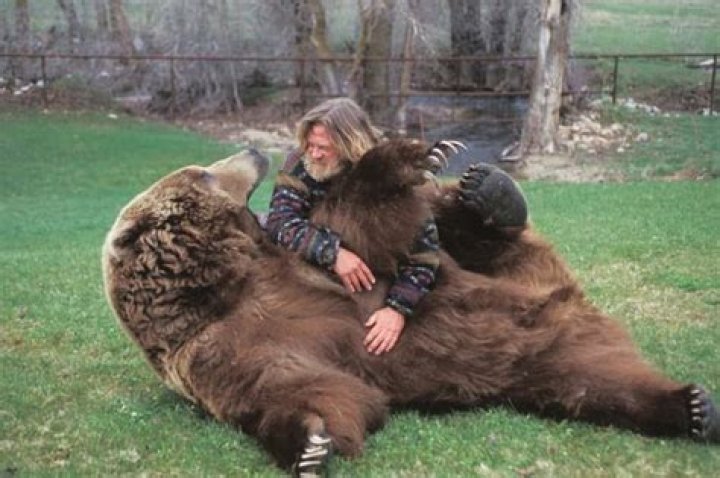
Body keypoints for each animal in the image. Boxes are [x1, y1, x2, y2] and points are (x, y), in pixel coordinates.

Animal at [102, 143, 719, 476]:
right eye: (205, 171)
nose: (255, 151)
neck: (223, 284)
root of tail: (568, 302)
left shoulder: (294, 265)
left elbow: (359, 231)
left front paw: (410, 157)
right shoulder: (223, 350)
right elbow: (297, 387)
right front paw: (308, 446)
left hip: (508, 276)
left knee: (476, 236)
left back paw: (491, 191)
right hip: (554, 355)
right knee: (600, 383)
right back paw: (690, 408)